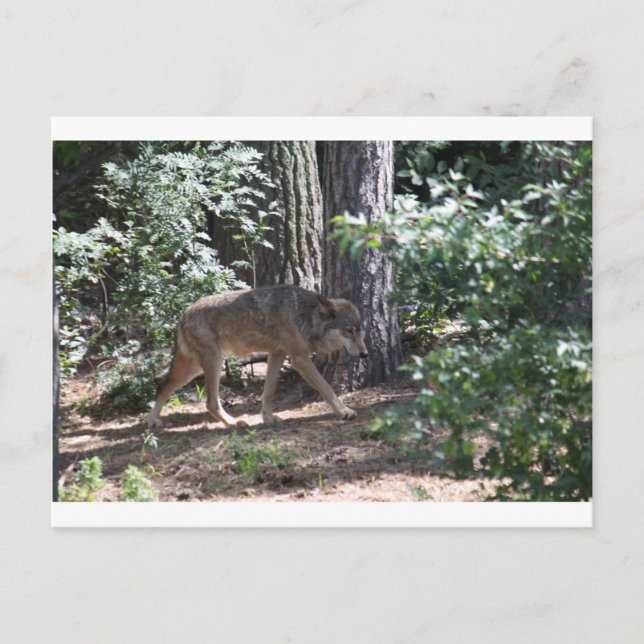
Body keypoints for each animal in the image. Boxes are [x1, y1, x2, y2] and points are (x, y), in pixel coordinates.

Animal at [148, 285, 368, 429]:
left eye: (359, 330)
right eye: (348, 330)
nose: (365, 354)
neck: (304, 314)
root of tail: (184, 314)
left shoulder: (277, 354)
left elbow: (268, 392)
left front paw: (268, 419)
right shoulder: (300, 359)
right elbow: (327, 388)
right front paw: (343, 412)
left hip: (192, 370)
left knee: (162, 386)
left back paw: (153, 422)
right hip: (213, 363)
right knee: (210, 402)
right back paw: (234, 423)